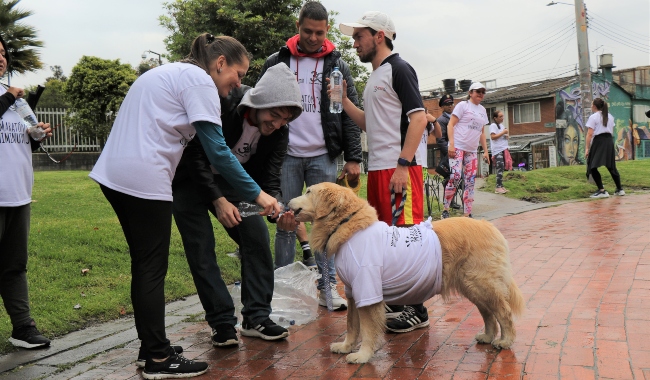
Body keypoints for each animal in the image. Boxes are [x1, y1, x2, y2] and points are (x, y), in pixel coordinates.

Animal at [286, 183, 524, 364]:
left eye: (309, 191)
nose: (286, 202)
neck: (348, 226)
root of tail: (489, 227)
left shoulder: (368, 290)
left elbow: (368, 329)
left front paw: (362, 355)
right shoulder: (354, 292)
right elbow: (352, 325)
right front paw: (346, 347)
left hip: (481, 284)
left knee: (503, 312)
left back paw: (506, 340)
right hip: (473, 287)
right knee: (489, 313)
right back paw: (488, 336)